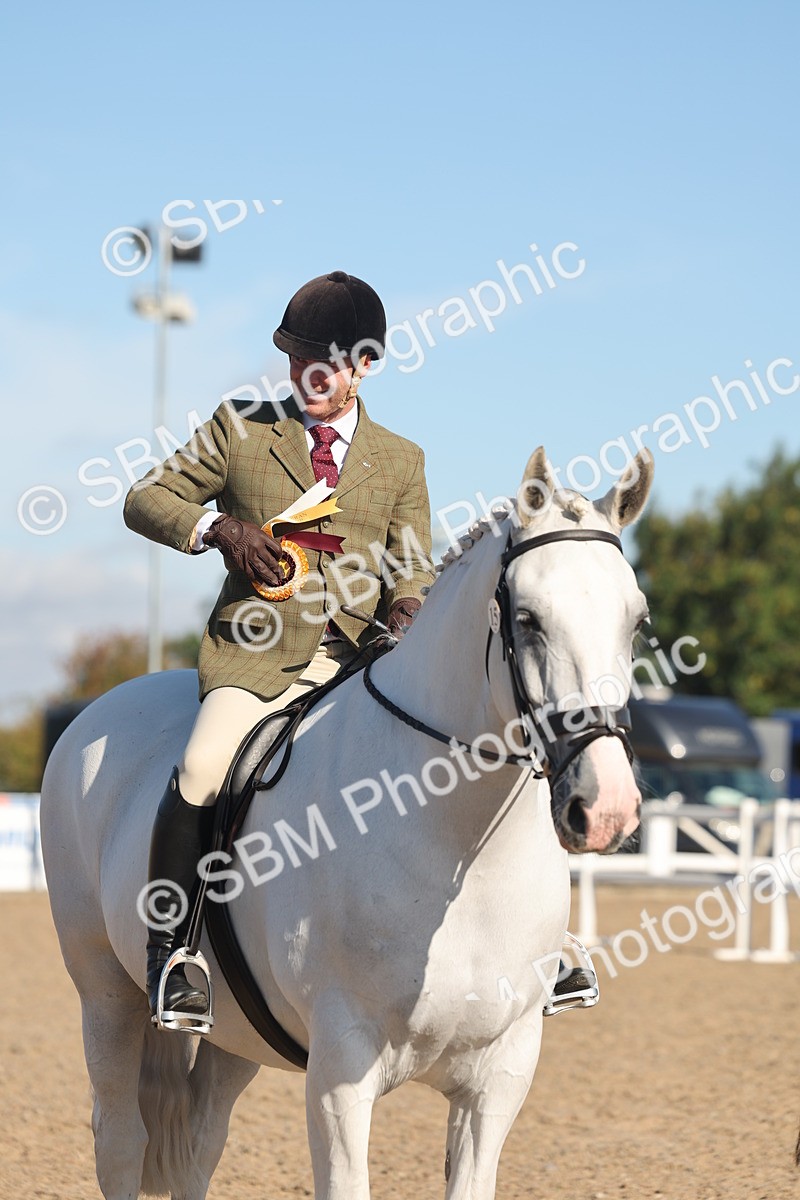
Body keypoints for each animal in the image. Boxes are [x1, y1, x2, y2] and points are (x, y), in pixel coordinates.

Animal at [40, 444, 653, 1200]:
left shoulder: (500, 1076)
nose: (607, 809)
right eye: (530, 619)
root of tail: (102, 708)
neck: (458, 850)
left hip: (236, 1033)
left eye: (637, 621)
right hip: (105, 993)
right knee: (122, 1140)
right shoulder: (341, 1071)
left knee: (198, 1142)